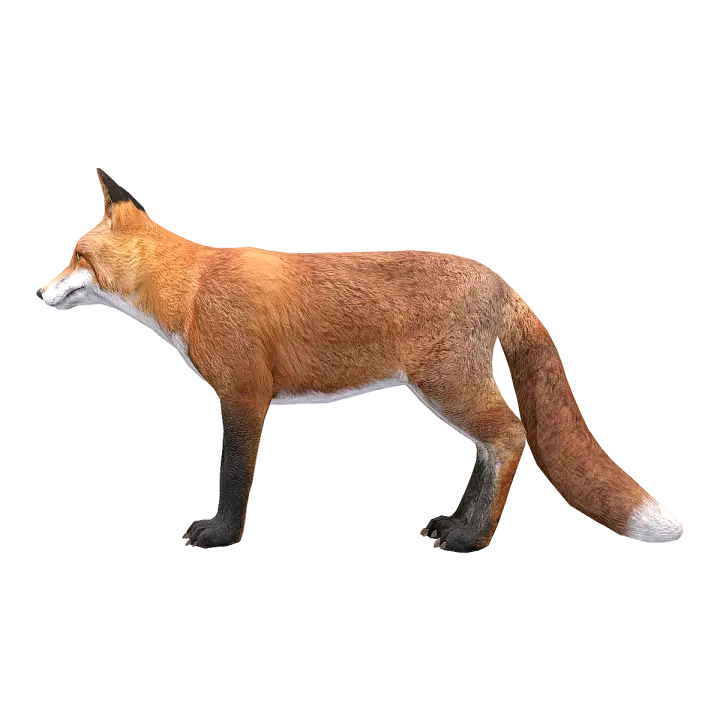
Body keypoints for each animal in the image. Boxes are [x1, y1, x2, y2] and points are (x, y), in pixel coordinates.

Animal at [36, 171, 685, 551]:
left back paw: (475, 534)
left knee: (512, 437)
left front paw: (219, 536)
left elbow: (230, 475)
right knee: (490, 447)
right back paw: (457, 521)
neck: (193, 291)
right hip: (441, 392)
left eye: (76, 255)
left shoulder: (243, 394)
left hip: (446, 386)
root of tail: (500, 282)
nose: (36, 293)